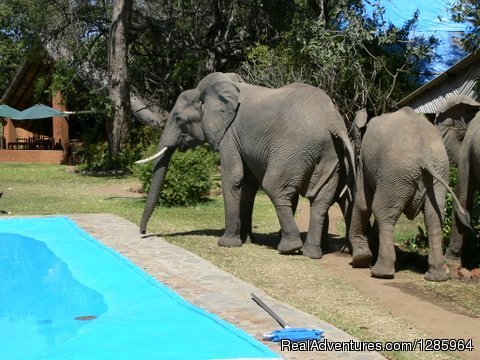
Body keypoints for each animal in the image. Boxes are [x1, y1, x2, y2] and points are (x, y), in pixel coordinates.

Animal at [137, 71, 354, 258]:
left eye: (178, 119)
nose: (143, 232)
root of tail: (334, 122)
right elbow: (248, 183)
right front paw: (246, 240)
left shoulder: (229, 134)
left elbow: (233, 177)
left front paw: (227, 243)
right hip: (330, 154)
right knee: (320, 200)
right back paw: (312, 253)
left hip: (293, 150)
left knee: (275, 187)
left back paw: (289, 248)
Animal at [346, 107, 470, 282]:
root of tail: (425, 154)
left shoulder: (365, 163)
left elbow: (363, 203)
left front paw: (360, 260)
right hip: (438, 172)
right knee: (433, 217)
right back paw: (436, 276)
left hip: (395, 171)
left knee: (383, 212)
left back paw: (380, 273)